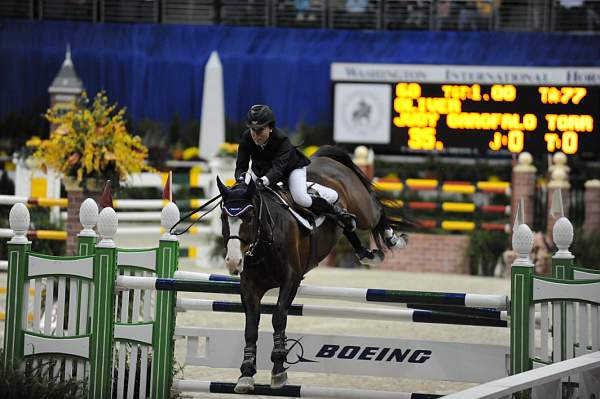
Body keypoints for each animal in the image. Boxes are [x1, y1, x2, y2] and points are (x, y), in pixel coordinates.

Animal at [216, 146, 408, 394]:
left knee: (376, 211)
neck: (266, 239)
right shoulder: (250, 287)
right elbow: (251, 326)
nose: (233, 262)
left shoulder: (291, 280)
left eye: (248, 217)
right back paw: (363, 250)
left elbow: (278, 317)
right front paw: (246, 374)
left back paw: (393, 239)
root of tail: (323, 158)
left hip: (363, 207)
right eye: (223, 217)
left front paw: (279, 370)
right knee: (349, 225)